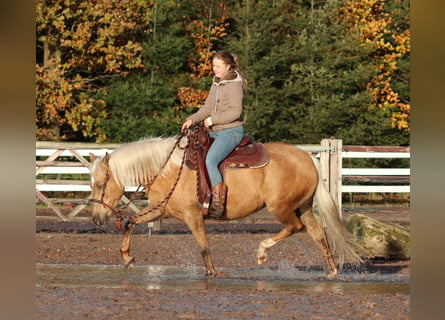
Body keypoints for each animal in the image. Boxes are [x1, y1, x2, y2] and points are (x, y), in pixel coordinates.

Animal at [88, 133, 362, 278]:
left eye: (101, 183)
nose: (97, 218)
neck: (168, 169)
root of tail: (307, 158)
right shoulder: (161, 210)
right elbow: (130, 223)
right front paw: (127, 258)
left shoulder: (192, 215)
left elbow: (203, 246)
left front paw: (213, 274)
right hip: (302, 207)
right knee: (318, 233)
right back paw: (331, 271)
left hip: (281, 208)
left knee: (294, 228)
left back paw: (262, 252)